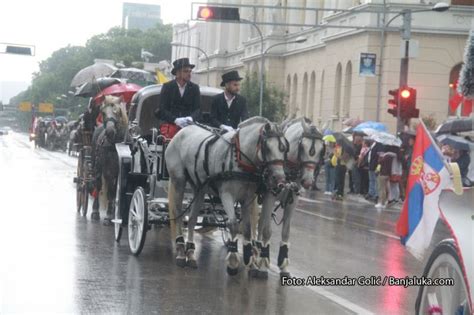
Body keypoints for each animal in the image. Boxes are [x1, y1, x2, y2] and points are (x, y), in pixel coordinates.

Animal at [165, 117, 286, 276]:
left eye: (284, 148)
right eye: (268, 148)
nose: (280, 179)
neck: (240, 159)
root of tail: (182, 131)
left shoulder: (247, 199)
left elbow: (247, 228)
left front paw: (249, 258)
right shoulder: (227, 195)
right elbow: (233, 225)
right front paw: (233, 261)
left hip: (199, 188)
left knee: (191, 220)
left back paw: (190, 254)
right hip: (178, 181)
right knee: (178, 214)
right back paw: (180, 251)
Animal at [254, 118, 324, 278]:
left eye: (321, 150)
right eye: (302, 147)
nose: (308, 181)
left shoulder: (293, 201)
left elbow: (286, 232)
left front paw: (284, 266)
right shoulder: (269, 197)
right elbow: (267, 230)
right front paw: (263, 264)